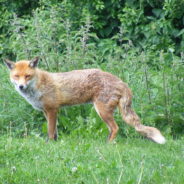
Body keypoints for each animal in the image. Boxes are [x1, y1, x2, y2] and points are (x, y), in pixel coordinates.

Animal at [3, 57, 165, 144]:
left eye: (27, 76)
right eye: (16, 76)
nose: (21, 86)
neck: (38, 85)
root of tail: (121, 82)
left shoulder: (52, 109)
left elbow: (50, 131)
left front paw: (50, 144)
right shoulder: (46, 111)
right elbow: (54, 131)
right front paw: (56, 143)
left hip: (102, 111)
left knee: (116, 128)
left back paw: (108, 145)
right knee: (113, 129)